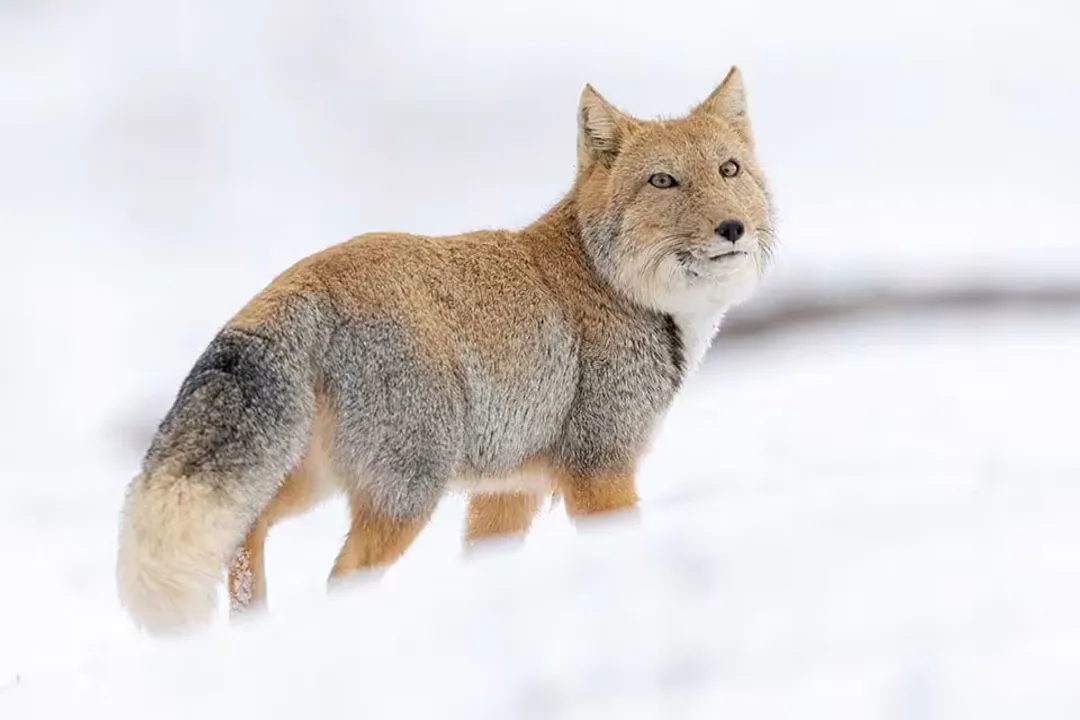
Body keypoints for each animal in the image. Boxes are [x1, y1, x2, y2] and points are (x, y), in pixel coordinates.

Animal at [116, 66, 776, 635]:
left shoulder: (510, 491)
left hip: (318, 481)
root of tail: (301, 281)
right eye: (663, 180)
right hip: (406, 494)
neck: (610, 282)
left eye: (729, 169)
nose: (732, 229)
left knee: (245, 533)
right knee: (340, 578)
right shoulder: (600, 468)